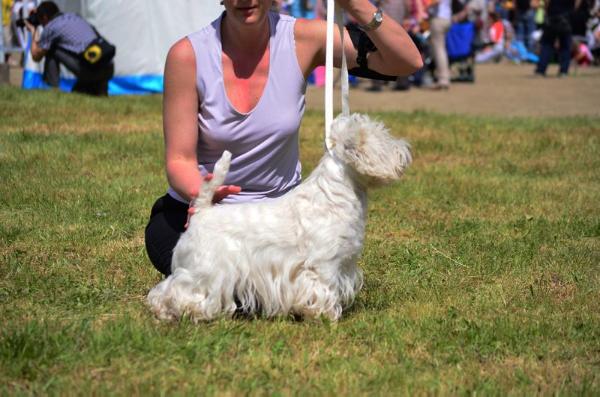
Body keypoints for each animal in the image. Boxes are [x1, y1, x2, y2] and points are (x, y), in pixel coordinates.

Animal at [148, 113, 412, 322]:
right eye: (383, 138)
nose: (405, 151)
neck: (336, 192)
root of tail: (202, 211)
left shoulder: (343, 263)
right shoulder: (324, 264)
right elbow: (324, 289)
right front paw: (327, 316)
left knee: (163, 290)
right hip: (205, 269)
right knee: (181, 290)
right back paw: (188, 312)